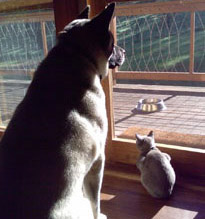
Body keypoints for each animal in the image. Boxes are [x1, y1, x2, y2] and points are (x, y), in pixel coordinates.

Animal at [0, 3, 125, 219]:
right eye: (113, 43)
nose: (123, 51)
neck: (75, 52)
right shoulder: (98, 163)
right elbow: (96, 203)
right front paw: (99, 215)